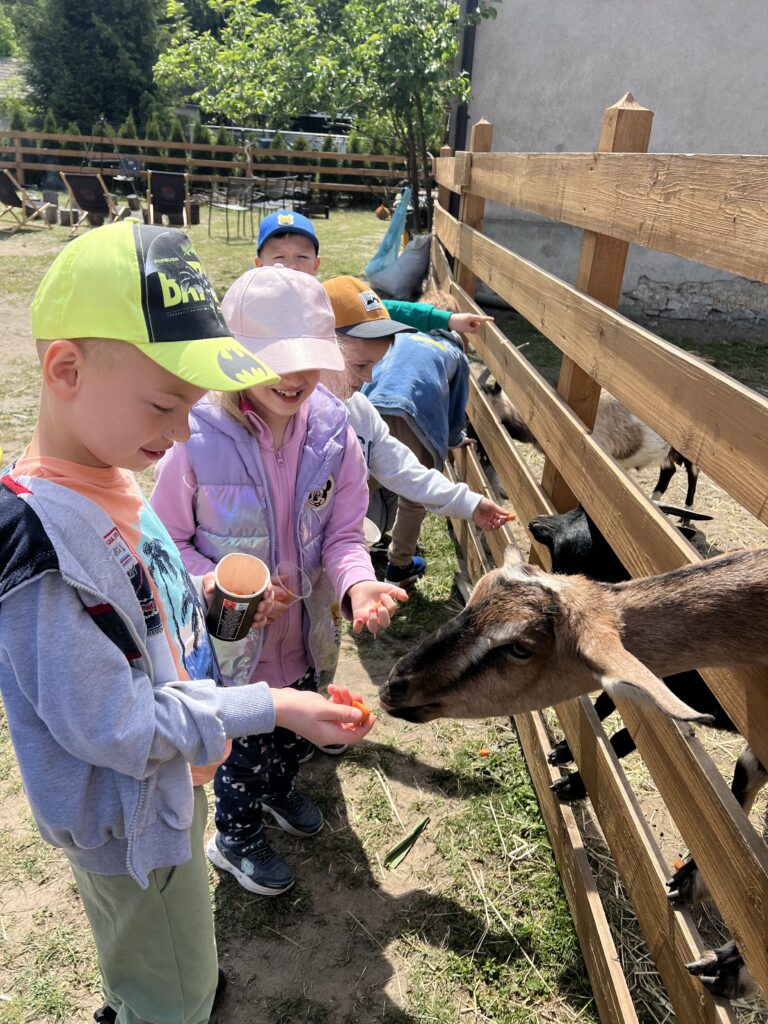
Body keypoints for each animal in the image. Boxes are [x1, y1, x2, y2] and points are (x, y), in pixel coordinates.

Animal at [385, 544, 768, 999]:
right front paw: (692, 882)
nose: (395, 685)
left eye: (520, 649)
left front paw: (729, 968)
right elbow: (747, 772)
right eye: (475, 596)